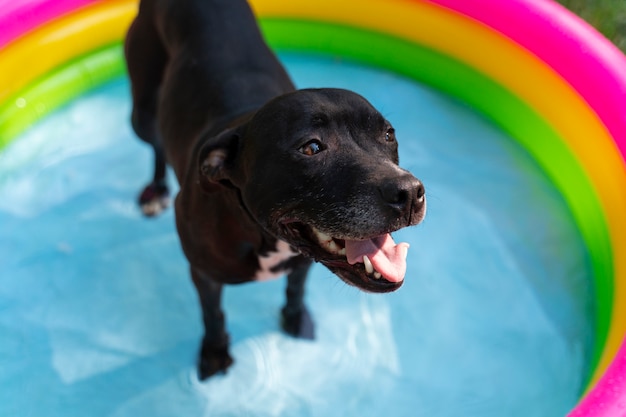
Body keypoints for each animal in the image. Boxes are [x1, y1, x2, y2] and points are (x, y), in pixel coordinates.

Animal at [123, 0, 424, 378]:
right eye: (311, 148)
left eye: (387, 135)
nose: (409, 192)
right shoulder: (203, 273)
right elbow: (213, 314)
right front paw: (215, 353)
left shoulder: (303, 261)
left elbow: (295, 289)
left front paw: (295, 319)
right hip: (143, 112)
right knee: (157, 143)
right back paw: (157, 189)